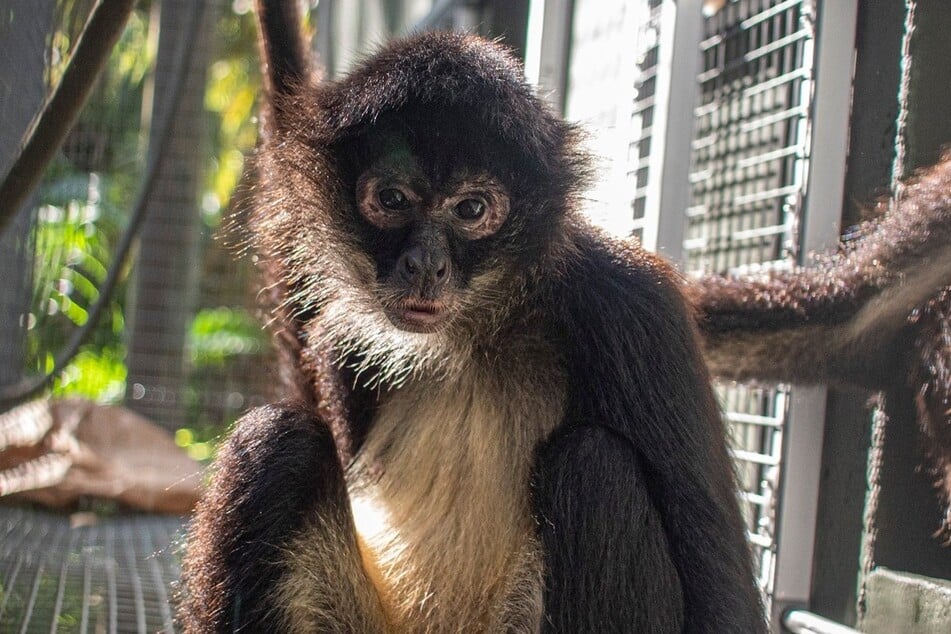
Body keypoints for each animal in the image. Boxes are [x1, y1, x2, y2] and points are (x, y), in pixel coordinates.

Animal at [180, 2, 768, 628]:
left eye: (471, 209)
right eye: (392, 200)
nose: (426, 265)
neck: (479, 335)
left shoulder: (634, 306)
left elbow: (727, 603)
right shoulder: (340, 339)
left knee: (594, 467)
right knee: (275, 441)